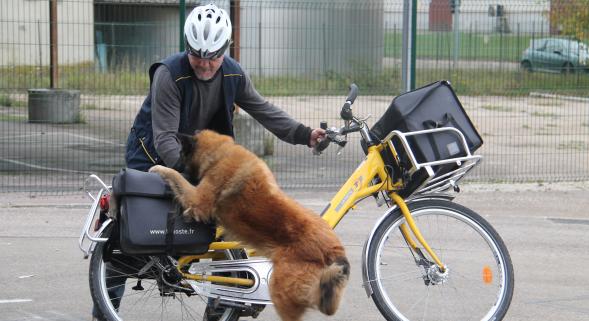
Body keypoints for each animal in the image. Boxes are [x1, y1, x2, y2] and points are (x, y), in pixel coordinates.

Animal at [149, 129, 350, 320]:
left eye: (181, 153)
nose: (170, 162)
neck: (219, 154)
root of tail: (334, 248)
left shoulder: (198, 201)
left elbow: (177, 178)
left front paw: (160, 169)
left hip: (282, 292)